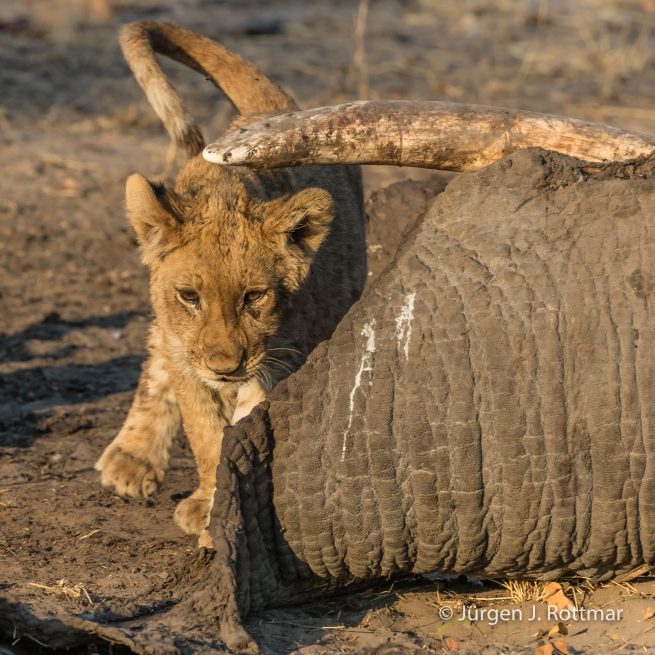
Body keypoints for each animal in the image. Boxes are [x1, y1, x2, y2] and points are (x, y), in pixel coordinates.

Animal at [95, 22, 366, 544]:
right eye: (189, 296)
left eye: (255, 296)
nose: (225, 367)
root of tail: (272, 107)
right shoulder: (188, 354)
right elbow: (205, 432)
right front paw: (207, 504)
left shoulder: (281, 357)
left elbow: (241, 426)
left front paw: (218, 512)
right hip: (169, 336)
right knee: (156, 356)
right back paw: (131, 458)